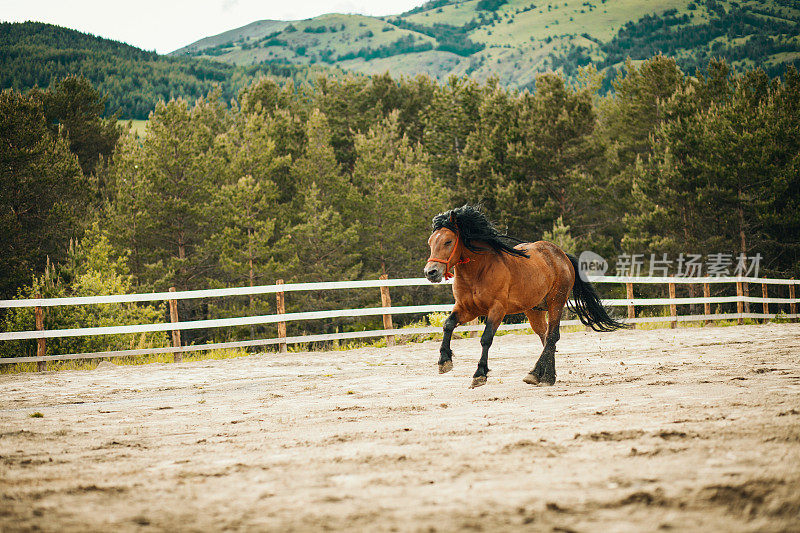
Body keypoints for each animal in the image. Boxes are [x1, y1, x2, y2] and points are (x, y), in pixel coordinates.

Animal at [422, 204, 628, 386]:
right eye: (431, 242)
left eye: (448, 241)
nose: (431, 272)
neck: (479, 271)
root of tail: (561, 255)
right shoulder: (467, 309)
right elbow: (448, 325)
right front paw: (444, 361)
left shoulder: (497, 310)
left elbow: (486, 338)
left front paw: (479, 374)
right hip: (534, 310)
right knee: (545, 337)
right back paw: (545, 375)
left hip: (556, 302)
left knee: (552, 336)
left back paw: (539, 375)